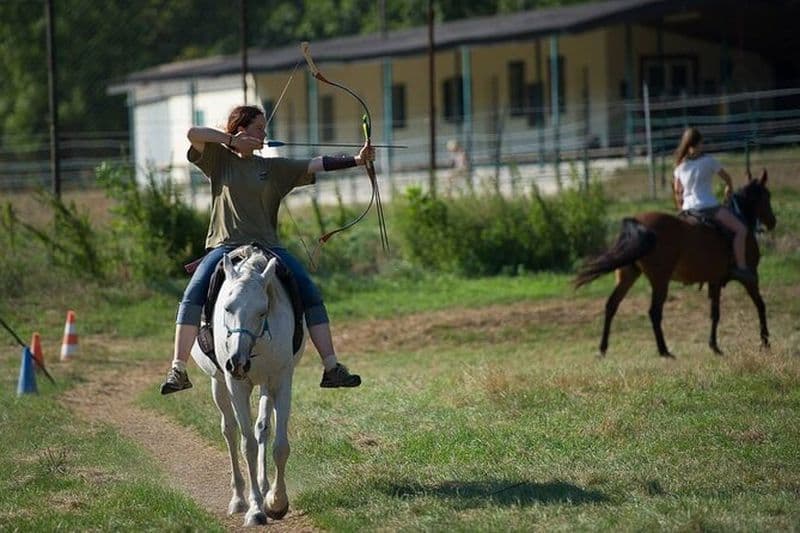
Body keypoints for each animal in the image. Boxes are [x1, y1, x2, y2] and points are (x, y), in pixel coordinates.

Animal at [190, 245, 304, 527]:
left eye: (263, 311)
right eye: (228, 308)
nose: (237, 363)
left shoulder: (281, 381)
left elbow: (279, 445)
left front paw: (276, 501)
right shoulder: (236, 386)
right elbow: (247, 446)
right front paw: (255, 510)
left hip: (264, 385)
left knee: (262, 428)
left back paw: (263, 488)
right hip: (219, 384)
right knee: (230, 432)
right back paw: (239, 499)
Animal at [574, 169, 776, 358]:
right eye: (767, 195)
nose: (773, 222)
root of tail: (638, 222)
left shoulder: (715, 281)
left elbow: (715, 313)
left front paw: (714, 346)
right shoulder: (750, 278)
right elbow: (760, 305)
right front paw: (765, 342)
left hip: (628, 275)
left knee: (612, 305)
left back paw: (603, 349)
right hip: (660, 280)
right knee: (654, 312)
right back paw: (664, 351)